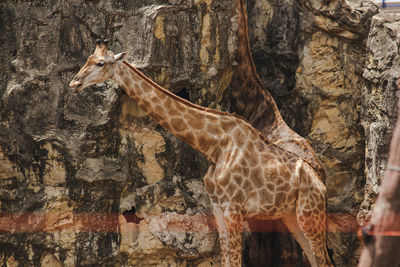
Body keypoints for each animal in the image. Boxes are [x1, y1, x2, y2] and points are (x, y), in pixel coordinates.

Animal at [69, 40, 332, 267]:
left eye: (100, 63)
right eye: (87, 59)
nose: (74, 84)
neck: (213, 145)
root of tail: (320, 182)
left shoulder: (233, 208)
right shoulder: (218, 208)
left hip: (310, 213)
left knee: (323, 260)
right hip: (291, 216)